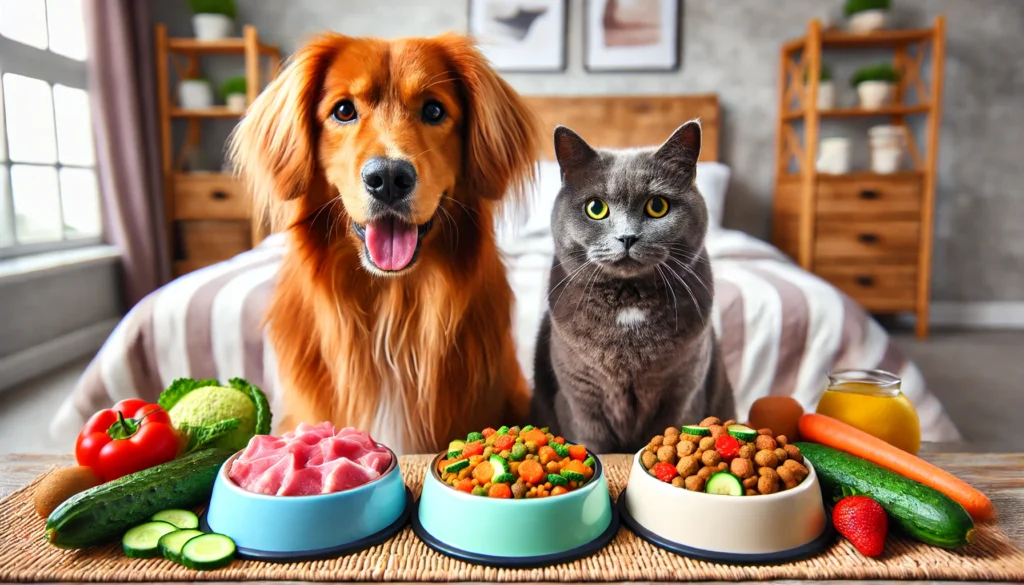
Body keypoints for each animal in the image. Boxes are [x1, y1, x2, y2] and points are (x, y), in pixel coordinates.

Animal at [528, 121, 737, 454]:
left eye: (657, 206)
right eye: (595, 208)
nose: (627, 237)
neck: (628, 304)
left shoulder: (682, 392)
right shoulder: (579, 398)